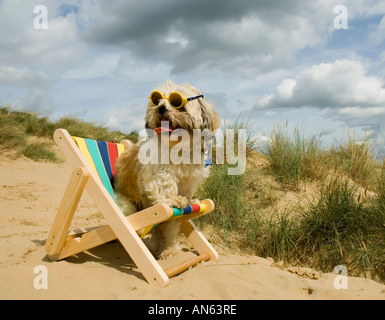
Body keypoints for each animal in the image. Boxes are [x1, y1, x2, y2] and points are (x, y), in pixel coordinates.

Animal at [113, 80, 219, 260]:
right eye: (157, 101)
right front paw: (175, 199)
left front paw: (189, 201)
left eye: (178, 103)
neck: (178, 146)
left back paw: (168, 249)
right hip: (126, 206)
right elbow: (165, 186)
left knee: (164, 229)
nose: (161, 108)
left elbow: (184, 196)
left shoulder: (188, 180)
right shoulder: (159, 173)